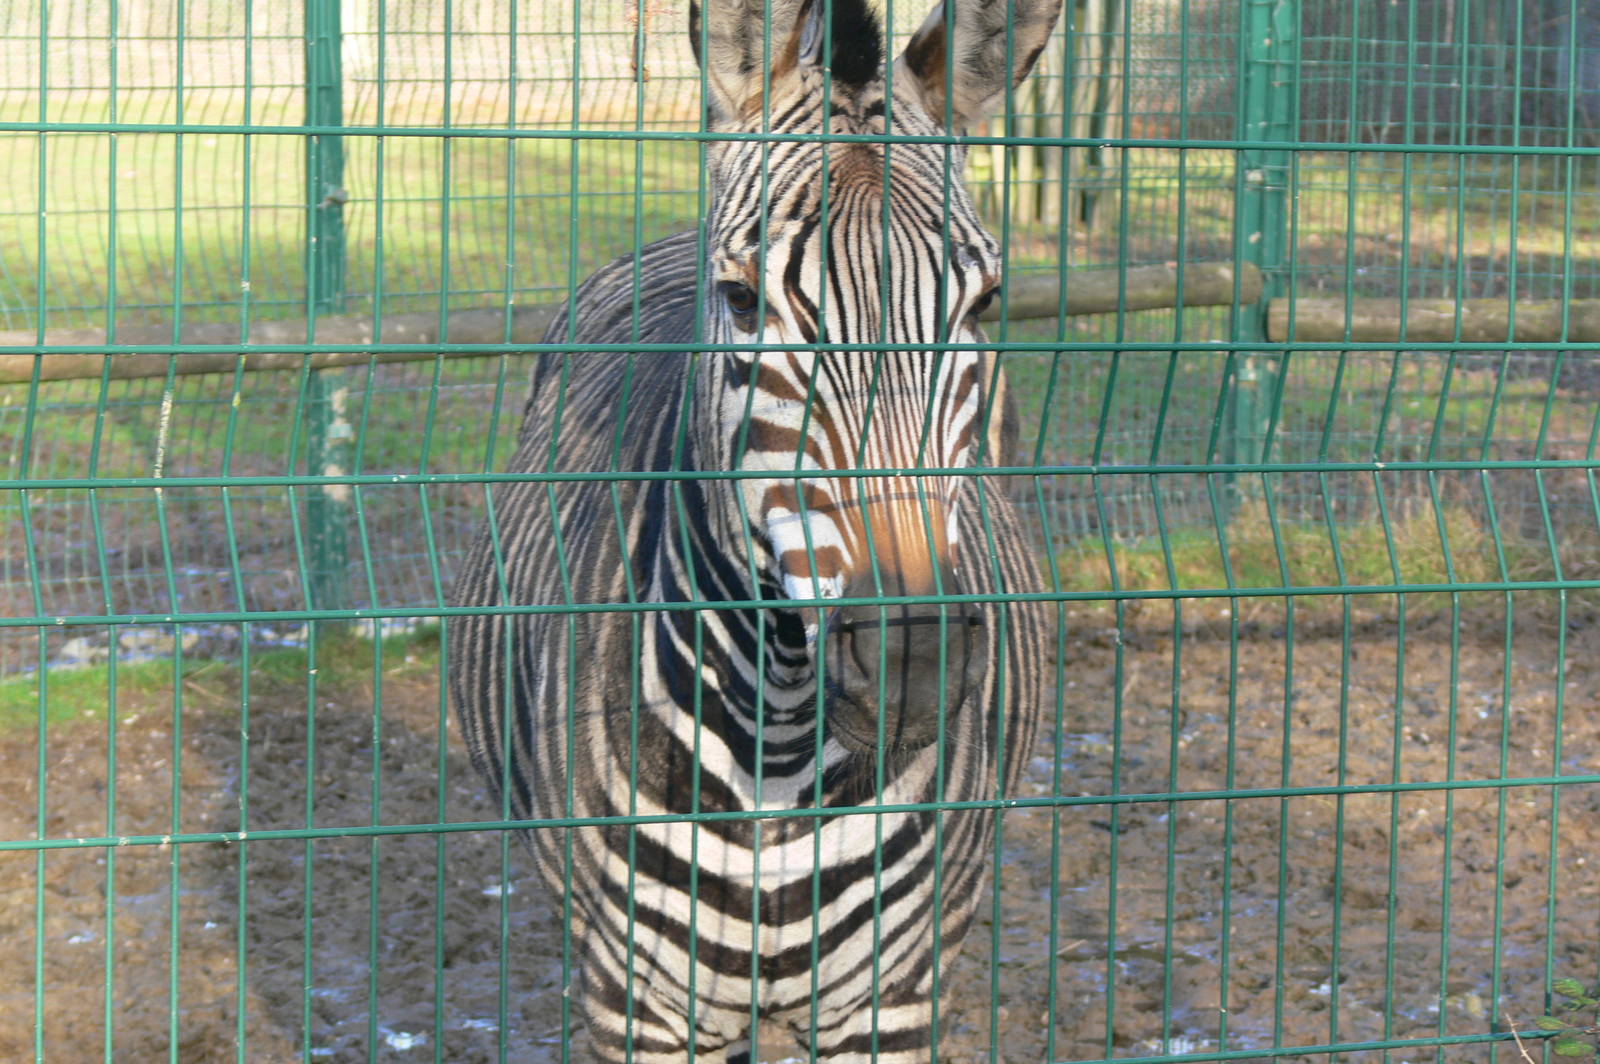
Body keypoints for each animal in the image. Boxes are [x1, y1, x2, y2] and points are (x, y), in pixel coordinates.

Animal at [449, 0, 1061, 1057]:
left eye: (984, 304)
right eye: (741, 300)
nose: (916, 654)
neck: (776, 736)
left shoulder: (892, 1000)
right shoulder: (638, 1007)